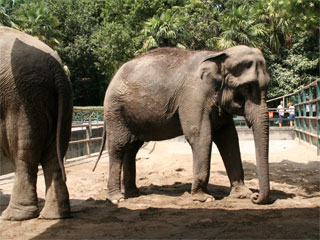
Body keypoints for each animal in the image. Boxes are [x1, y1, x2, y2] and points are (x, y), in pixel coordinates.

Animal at [0, 26, 73, 221]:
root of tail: (54, 65)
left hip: (22, 100)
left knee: (24, 155)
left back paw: (13, 216)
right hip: (59, 100)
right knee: (54, 154)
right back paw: (54, 216)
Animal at [95, 45, 270, 204]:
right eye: (247, 87)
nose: (256, 197)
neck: (218, 55)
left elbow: (230, 138)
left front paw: (243, 194)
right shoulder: (193, 95)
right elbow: (201, 136)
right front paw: (204, 199)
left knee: (132, 149)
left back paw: (134, 194)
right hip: (116, 111)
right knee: (119, 147)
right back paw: (117, 198)